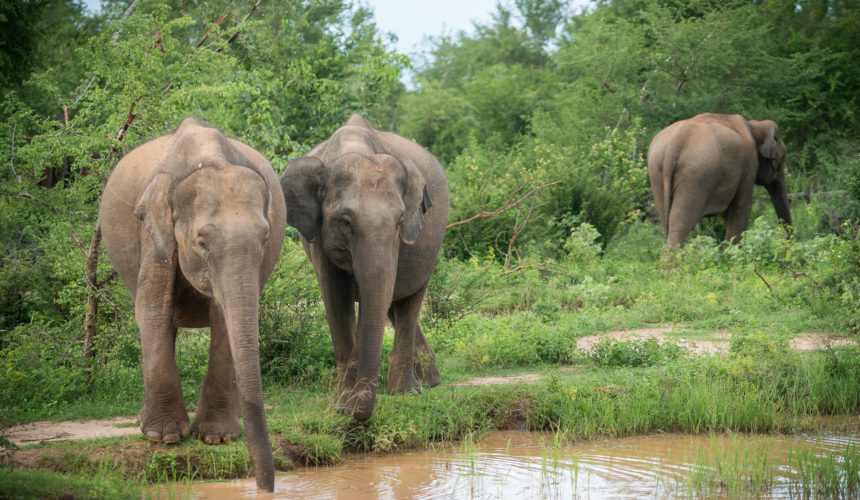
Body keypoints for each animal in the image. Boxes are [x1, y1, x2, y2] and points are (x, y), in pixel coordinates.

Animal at [98, 118, 284, 492]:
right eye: (201, 242)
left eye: (265, 238)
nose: (265, 489)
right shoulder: (152, 229)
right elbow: (152, 310)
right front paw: (164, 437)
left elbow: (224, 319)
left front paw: (216, 438)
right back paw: (146, 423)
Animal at [280, 114, 450, 422]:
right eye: (345, 221)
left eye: (400, 220)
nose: (351, 412)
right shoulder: (318, 235)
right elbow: (337, 299)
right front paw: (343, 404)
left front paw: (347, 404)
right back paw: (428, 381)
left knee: (409, 301)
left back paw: (408, 390)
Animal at [644, 113, 792, 246]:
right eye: (784, 156)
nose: (787, 244)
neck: (754, 125)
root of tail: (675, 143)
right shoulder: (749, 166)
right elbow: (741, 210)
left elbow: (728, 214)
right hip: (696, 176)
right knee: (681, 224)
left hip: (656, 172)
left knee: (667, 222)